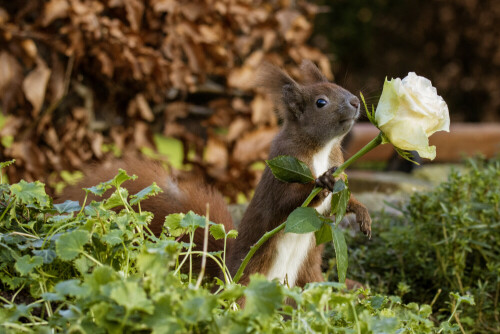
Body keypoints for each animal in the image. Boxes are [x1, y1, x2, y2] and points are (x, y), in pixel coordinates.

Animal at [60, 60, 370, 288]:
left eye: (339, 86)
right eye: (321, 102)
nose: (356, 102)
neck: (321, 150)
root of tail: (225, 274)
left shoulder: (338, 161)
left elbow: (346, 193)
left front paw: (361, 213)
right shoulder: (282, 168)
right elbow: (286, 203)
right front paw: (321, 182)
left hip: (310, 279)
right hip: (247, 280)